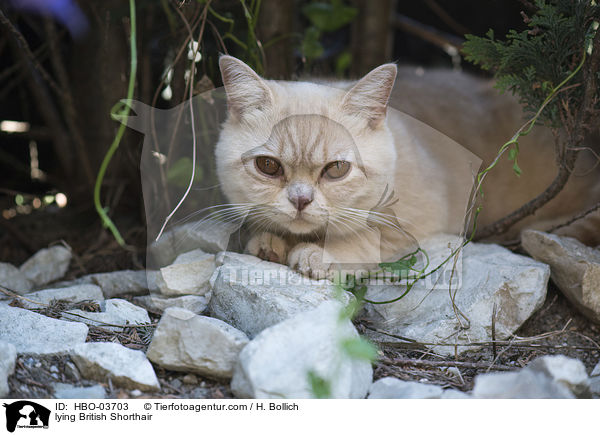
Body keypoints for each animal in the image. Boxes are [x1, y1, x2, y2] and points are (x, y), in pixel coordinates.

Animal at [213, 55, 596, 280]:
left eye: (336, 169)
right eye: (268, 166)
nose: (300, 200)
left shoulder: (427, 216)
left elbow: (367, 237)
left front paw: (322, 253)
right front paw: (271, 240)